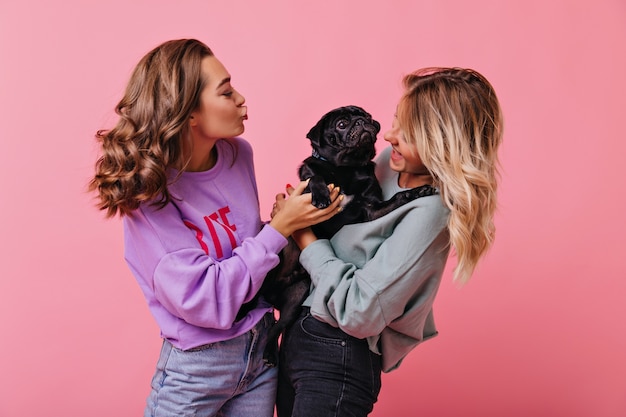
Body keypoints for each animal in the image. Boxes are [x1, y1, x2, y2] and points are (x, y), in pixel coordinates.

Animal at [236, 105, 436, 362]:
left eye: (368, 117)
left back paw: (270, 352)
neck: (347, 167)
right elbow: (316, 176)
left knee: (276, 328)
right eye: (341, 124)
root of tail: (270, 293)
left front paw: (418, 191)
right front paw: (322, 195)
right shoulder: (306, 182)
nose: (362, 122)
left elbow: (398, 198)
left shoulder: (372, 209)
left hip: (296, 297)